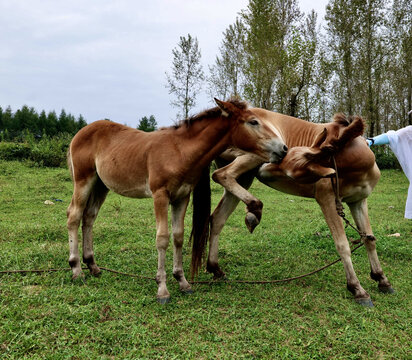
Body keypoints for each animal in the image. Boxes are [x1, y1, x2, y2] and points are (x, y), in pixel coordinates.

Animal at [67, 99, 286, 304]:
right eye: (253, 121)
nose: (283, 149)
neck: (179, 151)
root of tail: (81, 132)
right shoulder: (160, 195)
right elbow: (162, 238)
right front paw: (162, 290)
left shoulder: (182, 197)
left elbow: (178, 236)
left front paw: (183, 282)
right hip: (83, 180)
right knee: (74, 216)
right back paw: (77, 270)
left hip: (101, 185)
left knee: (89, 217)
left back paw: (93, 266)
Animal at [205, 110, 392, 306]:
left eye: (294, 170)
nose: (264, 168)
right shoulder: (327, 201)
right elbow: (342, 245)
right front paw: (357, 288)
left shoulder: (358, 201)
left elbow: (369, 239)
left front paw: (381, 278)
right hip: (251, 158)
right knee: (221, 175)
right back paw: (254, 210)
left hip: (244, 178)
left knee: (218, 217)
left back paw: (216, 268)